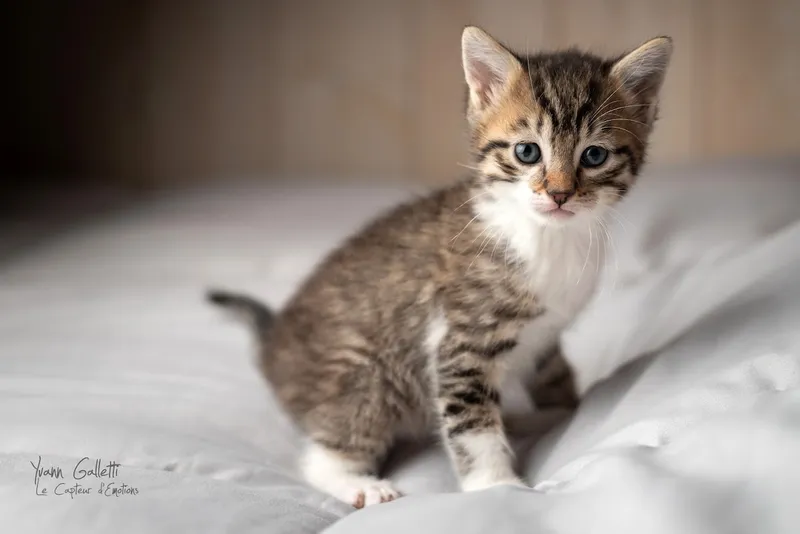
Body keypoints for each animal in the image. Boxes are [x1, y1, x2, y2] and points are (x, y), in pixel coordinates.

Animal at [206, 26, 668, 510]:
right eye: (527, 152)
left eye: (594, 156)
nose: (559, 194)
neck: (546, 237)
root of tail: (273, 344)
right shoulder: (460, 341)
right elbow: (473, 425)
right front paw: (497, 487)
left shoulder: (544, 334)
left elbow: (554, 377)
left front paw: (564, 415)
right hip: (367, 373)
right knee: (324, 452)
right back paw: (358, 482)